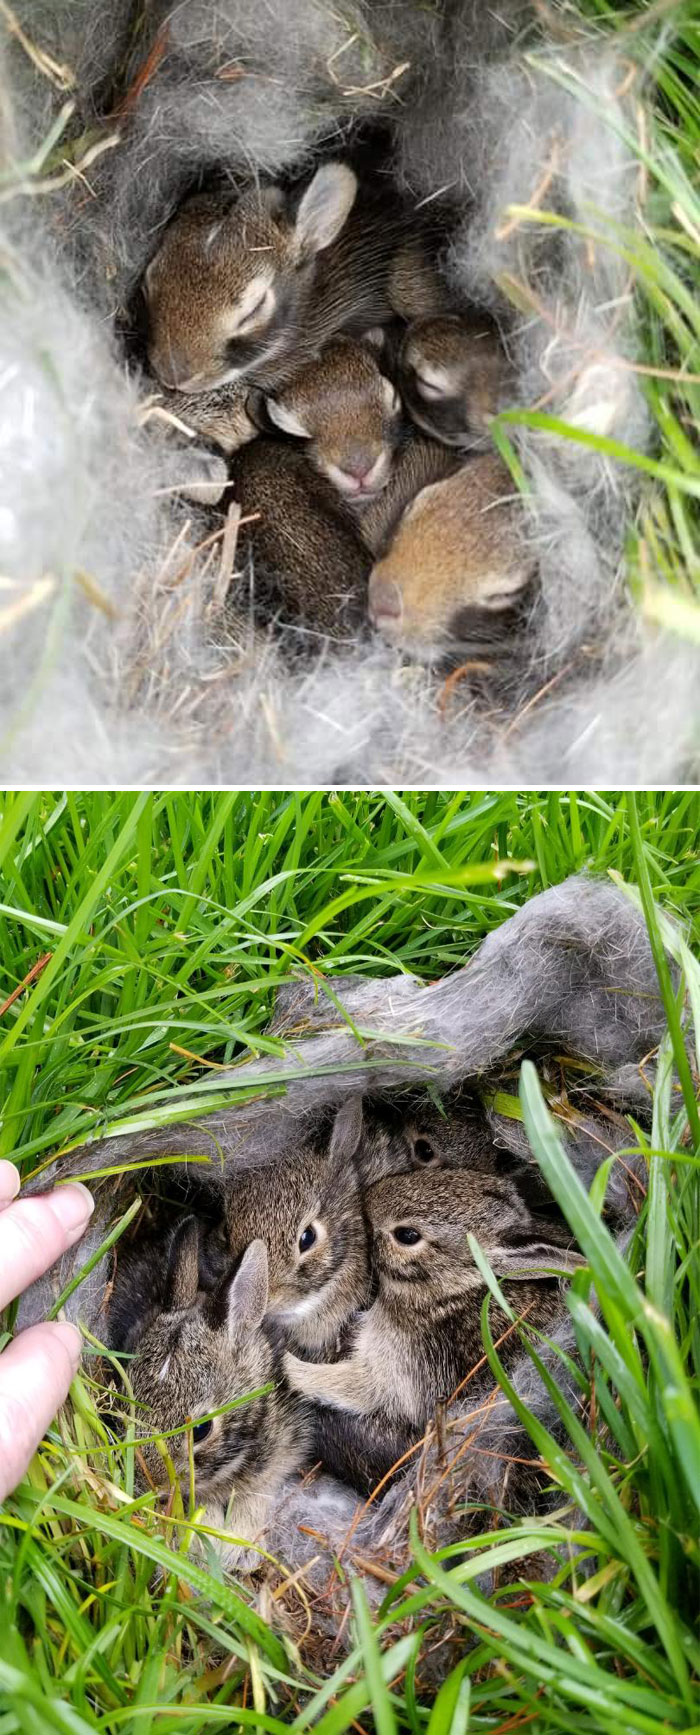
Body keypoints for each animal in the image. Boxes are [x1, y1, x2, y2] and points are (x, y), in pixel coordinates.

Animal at [285, 1169, 582, 1493]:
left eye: (407, 1235)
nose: (370, 1197)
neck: (446, 1289)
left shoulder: (404, 1367)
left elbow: (351, 1385)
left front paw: (288, 1365)